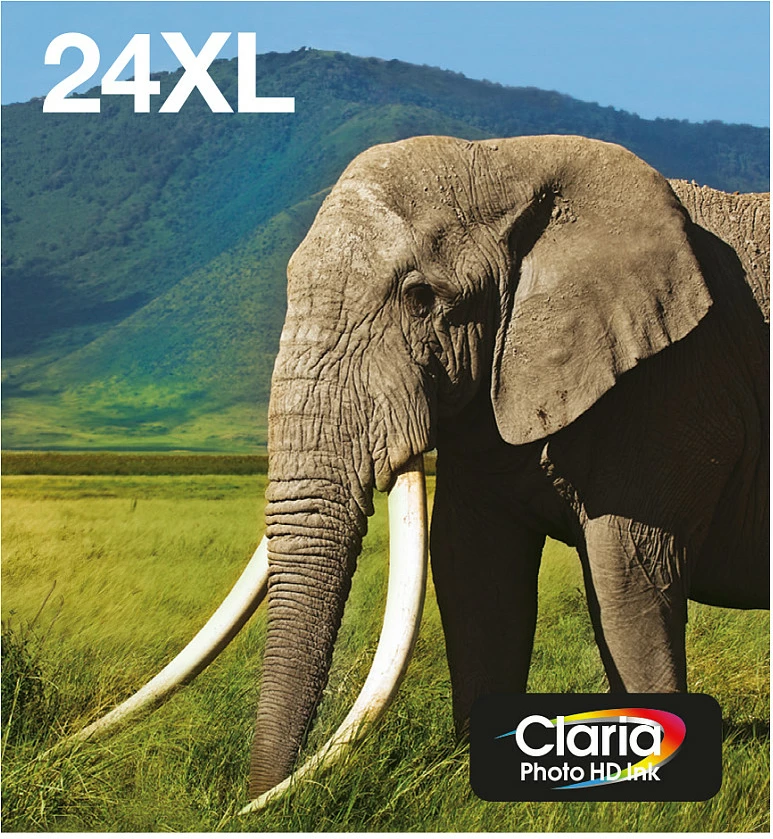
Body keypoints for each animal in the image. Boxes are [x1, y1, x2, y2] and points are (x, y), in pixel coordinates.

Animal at [69, 135, 769, 811]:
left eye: (421, 298)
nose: (245, 805)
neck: (509, 156)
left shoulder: (676, 382)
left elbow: (631, 573)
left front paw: (653, 796)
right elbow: (473, 569)